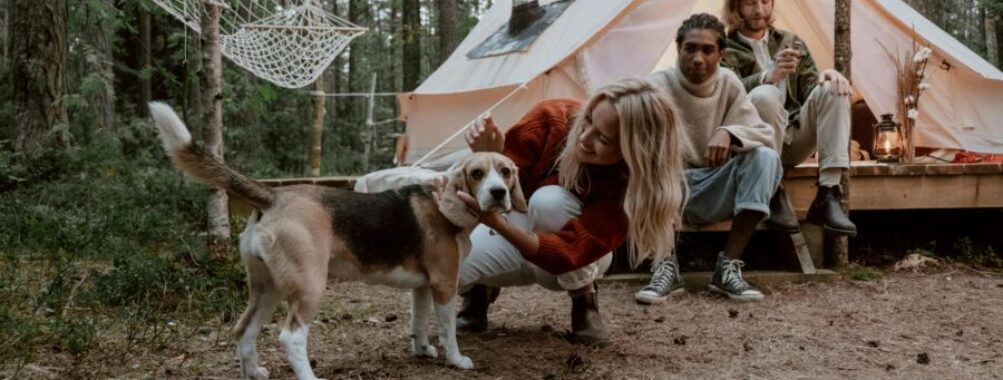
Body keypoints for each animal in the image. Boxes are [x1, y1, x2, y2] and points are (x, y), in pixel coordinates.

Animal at [150, 104, 525, 380]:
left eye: (506, 172)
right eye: (477, 173)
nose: (498, 193)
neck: (443, 202)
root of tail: (274, 196)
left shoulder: (423, 287)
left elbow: (418, 323)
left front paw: (422, 351)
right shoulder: (445, 285)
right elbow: (447, 330)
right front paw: (456, 360)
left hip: (267, 288)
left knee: (243, 331)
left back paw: (253, 372)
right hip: (309, 286)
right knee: (291, 337)